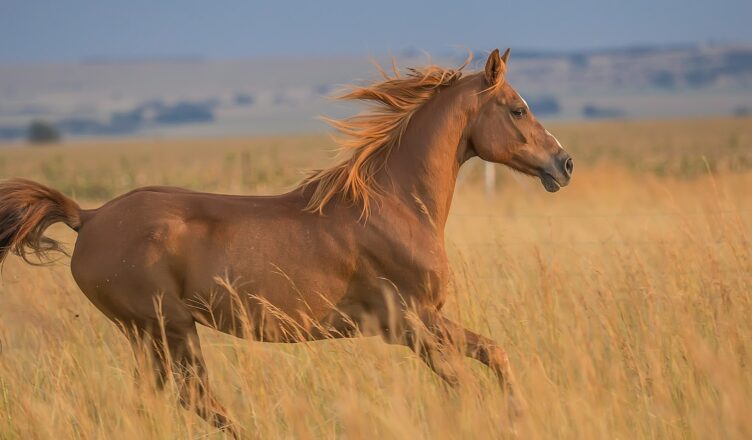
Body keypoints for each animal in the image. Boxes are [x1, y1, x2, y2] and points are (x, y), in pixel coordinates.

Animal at [0, 49, 568, 436]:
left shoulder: (429, 319)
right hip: (167, 328)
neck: (394, 204)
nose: (564, 164)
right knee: (196, 400)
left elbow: (495, 353)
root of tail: (89, 217)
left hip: (150, 335)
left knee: (161, 401)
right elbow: (463, 384)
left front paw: (519, 414)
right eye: (517, 109)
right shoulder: (409, 324)